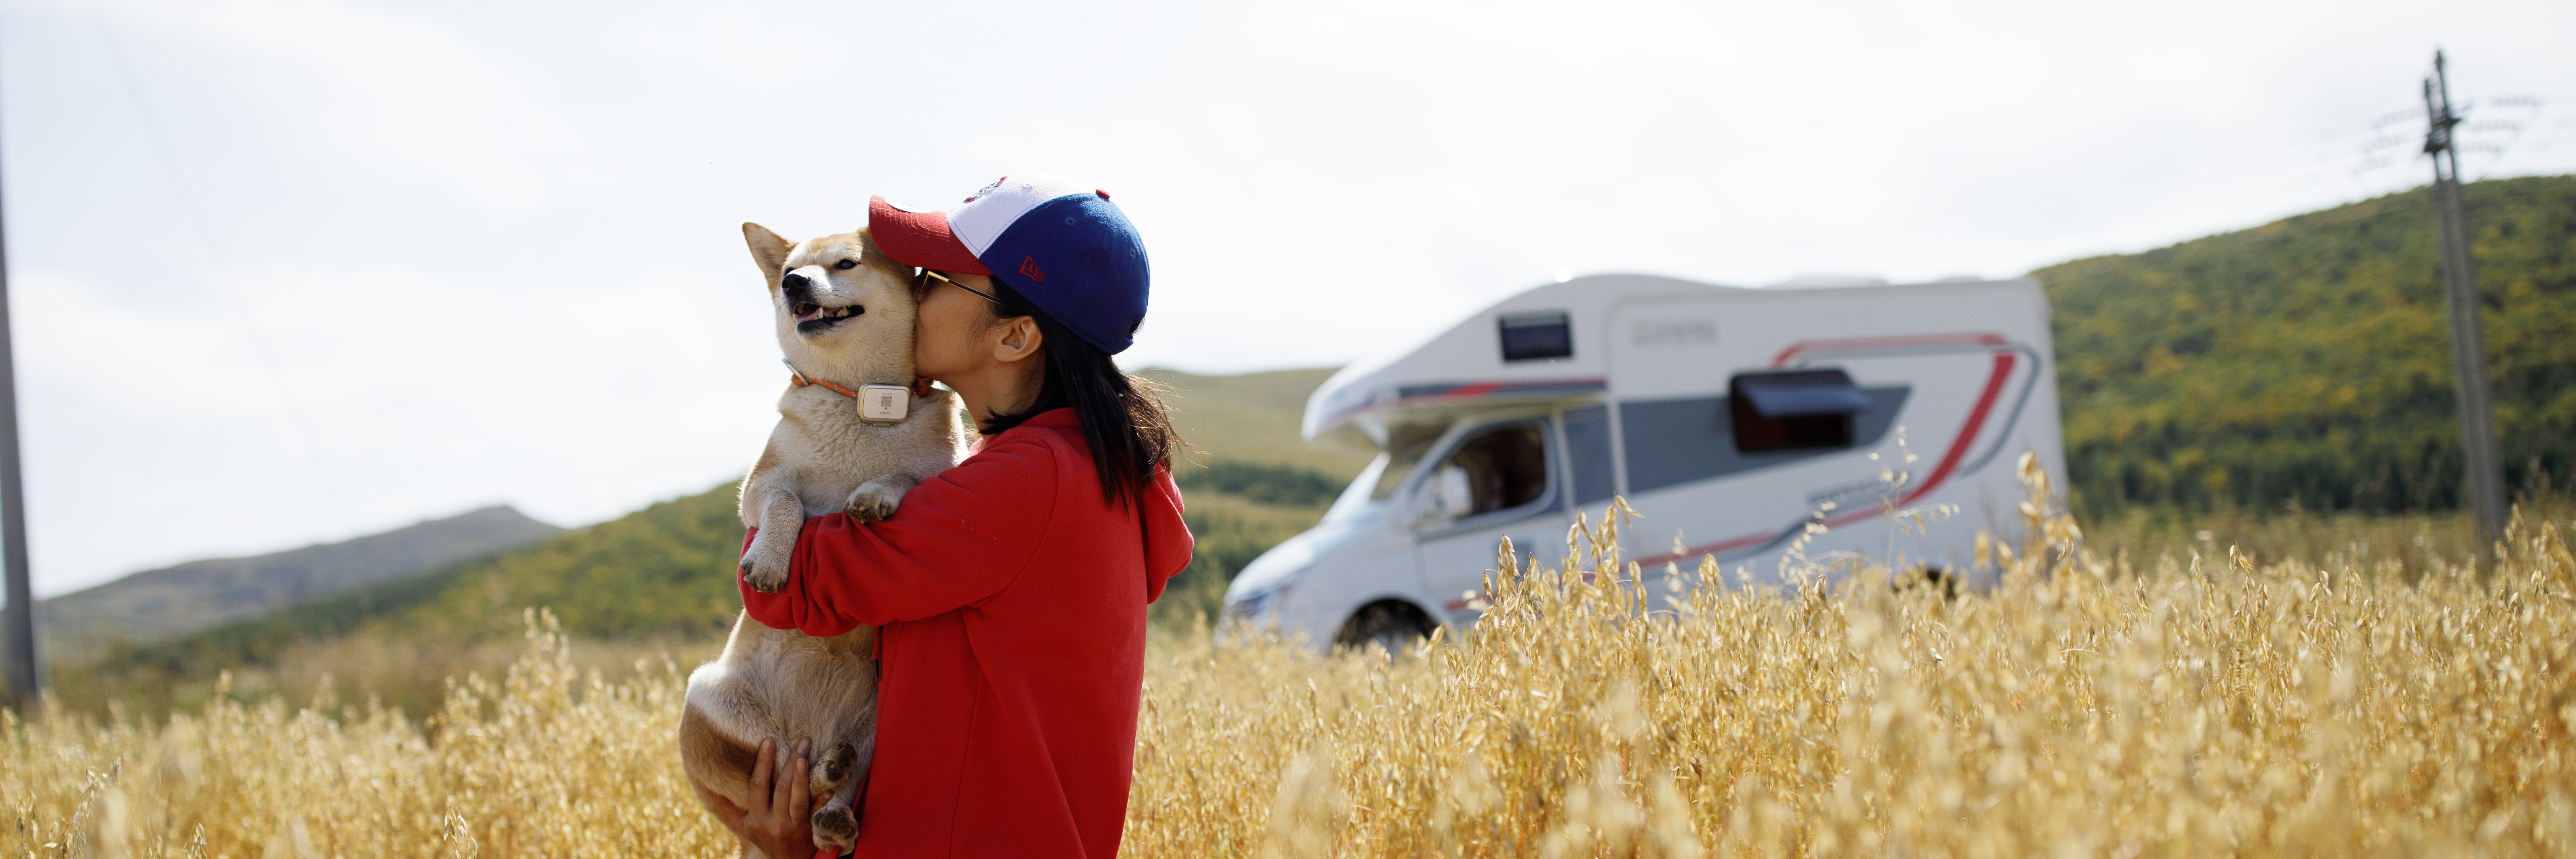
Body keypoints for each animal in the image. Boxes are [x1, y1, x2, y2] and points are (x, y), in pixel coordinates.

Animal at [680, 219, 968, 851]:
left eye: (845, 263)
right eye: (791, 269)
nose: (793, 284)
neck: (861, 401)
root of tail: (807, 732)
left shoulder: (944, 471)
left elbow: (906, 475)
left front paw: (875, 494)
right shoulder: (758, 489)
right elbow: (786, 501)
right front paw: (768, 561)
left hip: (879, 719)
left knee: (840, 778)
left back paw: (835, 801)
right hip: (710, 699)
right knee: (783, 769)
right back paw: (821, 777)